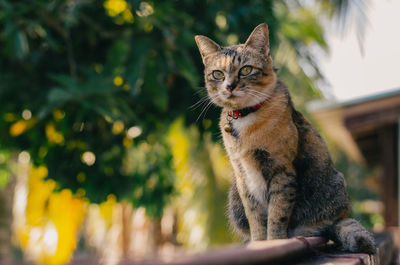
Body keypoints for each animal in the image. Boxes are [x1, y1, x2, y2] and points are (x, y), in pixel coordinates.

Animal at [195, 22, 376, 252]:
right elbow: (255, 216)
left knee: (317, 228)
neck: (246, 120)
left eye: (246, 69)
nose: (229, 86)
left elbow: (277, 213)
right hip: (235, 195)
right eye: (217, 74)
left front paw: (274, 241)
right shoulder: (243, 176)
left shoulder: (281, 168)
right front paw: (258, 243)